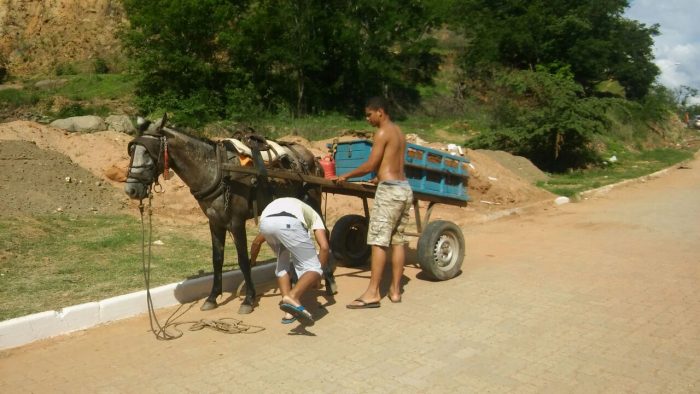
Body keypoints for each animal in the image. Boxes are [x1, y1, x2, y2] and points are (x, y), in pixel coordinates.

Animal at [124, 116, 334, 314]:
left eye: (147, 152)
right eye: (131, 150)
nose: (131, 190)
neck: (216, 170)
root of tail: (311, 157)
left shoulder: (236, 222)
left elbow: (243, 260)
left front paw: (248, 299)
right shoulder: (215, 222)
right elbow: (217, 259)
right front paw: (212, 297)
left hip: (312, 201)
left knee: (324, 233)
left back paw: (328, 281)